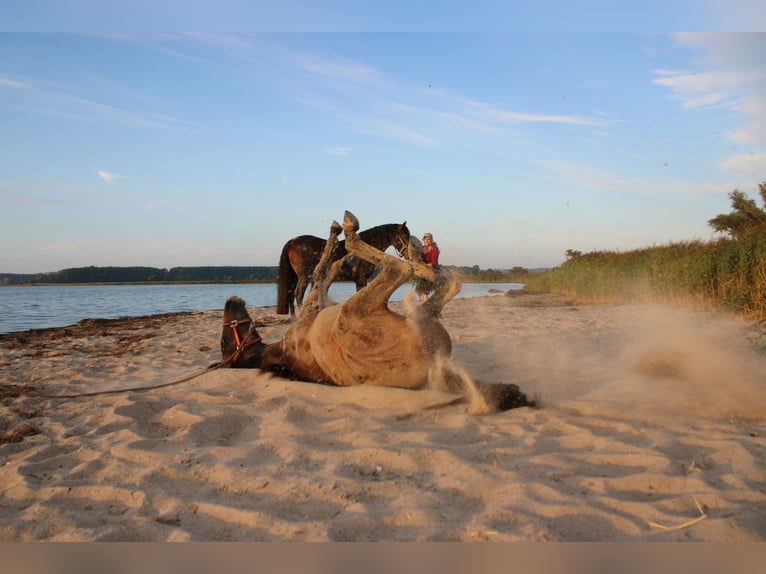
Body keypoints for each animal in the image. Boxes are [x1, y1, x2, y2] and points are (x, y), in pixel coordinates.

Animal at [274, 220, 408, 316]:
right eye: (405, 235)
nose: (408, 255)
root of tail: (292, 241)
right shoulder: (361, 279)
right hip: (304, 276)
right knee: (298, 294)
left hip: (295, 276)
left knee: (290, 295)